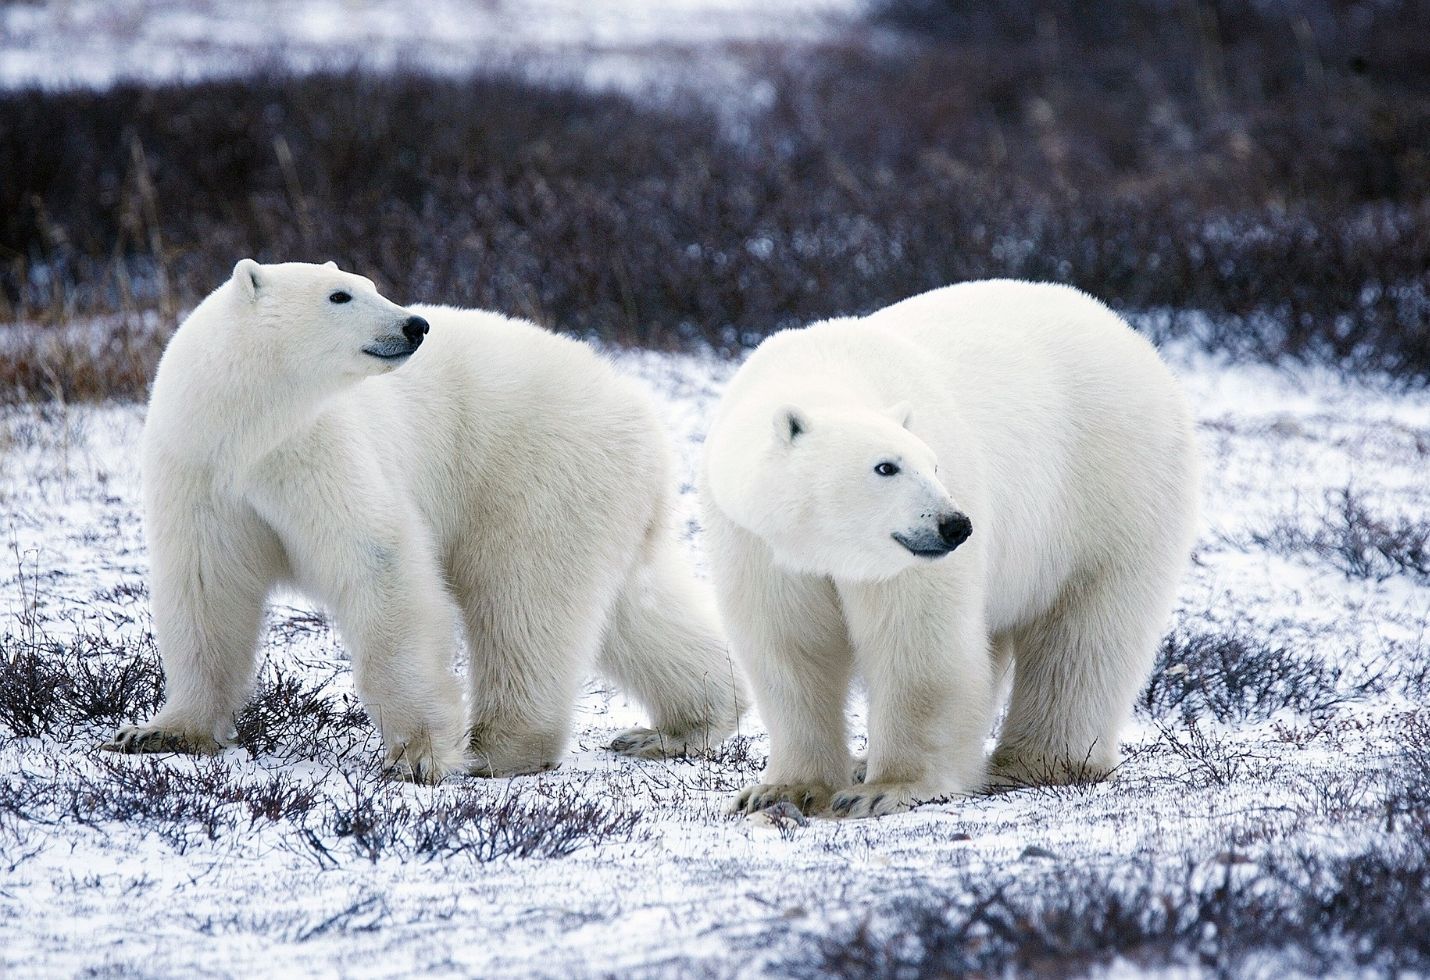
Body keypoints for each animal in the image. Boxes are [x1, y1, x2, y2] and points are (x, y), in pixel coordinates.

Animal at [103, 259, 745, 782]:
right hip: (601, 496)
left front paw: (418, 755)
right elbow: (206, 587)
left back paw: (499, 748)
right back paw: (680, 726)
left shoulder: (318, 450)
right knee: (633, 608)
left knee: (523, 599)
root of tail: (644, 415)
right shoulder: (201, 470)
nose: (415, 325)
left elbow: (379, 563)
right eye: (341, 294)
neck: (247, 427)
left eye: (370, 285)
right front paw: (159, 732)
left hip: (538, 472)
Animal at [701, 279, 1198, 818]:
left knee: (1085, 634)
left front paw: (885, 789)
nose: (955, 525)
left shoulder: (906, 561)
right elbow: (790, 647)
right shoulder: (756, 542)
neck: (824, 369)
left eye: (933, 464)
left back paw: (1036, 762)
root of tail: (1131, 335)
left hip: (1110, 487)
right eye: (886, 466)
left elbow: (919, 644)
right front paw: (781, 790)